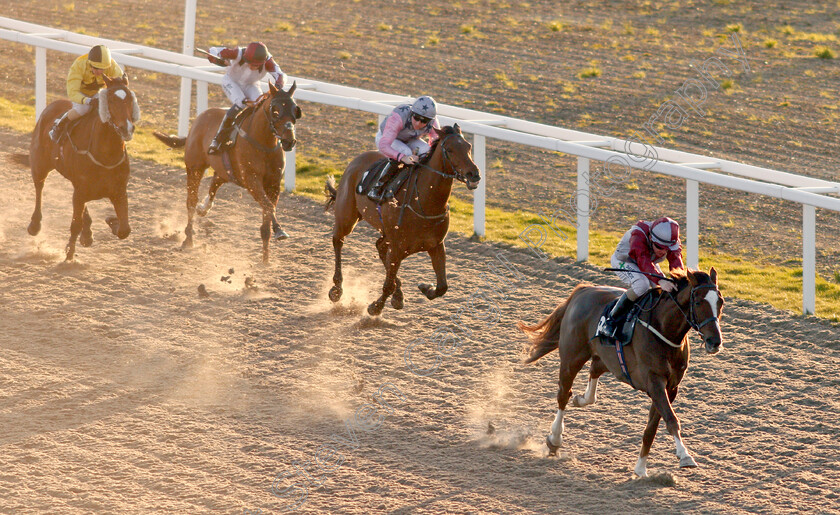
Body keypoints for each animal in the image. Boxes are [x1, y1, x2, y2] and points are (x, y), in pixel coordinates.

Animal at [28, 75, 139, 262]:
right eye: (110, 99)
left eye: (130, 98)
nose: (126, 128)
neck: (106, 155)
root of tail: (52, 105)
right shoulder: (80, 190)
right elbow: (75, 224)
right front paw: (69, 254)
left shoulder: (119, 190)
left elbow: (125, 229)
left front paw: (112, 220)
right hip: (39, 163)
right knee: (39, 187)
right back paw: (35, 224)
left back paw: (87, 234)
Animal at [154, 83, 302, 264]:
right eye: (275, 110)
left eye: (295, 109)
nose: (289, 141)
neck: (263, 143)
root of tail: (198, 120)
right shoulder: (252, 180)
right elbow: (268, 206)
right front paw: (280, 231)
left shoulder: (273, 184)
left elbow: (268, 213)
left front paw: (266, 260)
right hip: (195, 167)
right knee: (191, 201)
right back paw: (188, 238)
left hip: (225, 171)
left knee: (214, 182)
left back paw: (204, 208)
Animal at [322, 125, 480, 316]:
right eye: (449, 150)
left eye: (468, 147)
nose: (474, 174)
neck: (425, 203)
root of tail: (356, 160)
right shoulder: (397, 247)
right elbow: (388, 285)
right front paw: (375, 306)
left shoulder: (435, 245)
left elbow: (442, 286)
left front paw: (425, 288)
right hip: (347, 216)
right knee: (338, 240)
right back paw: (337, 289)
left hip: (386, 232)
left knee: (380, 247)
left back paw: (398, 295)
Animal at [520, 268, 720, 478]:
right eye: (698, 302)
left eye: (720, 302)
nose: (715, 341)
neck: (663, 328)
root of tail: (583, 290)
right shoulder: (654, 382)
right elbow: (671, 419)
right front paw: (685, 456)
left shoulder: (671, 387)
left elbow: (652, 428)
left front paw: (640, 469)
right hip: (572, 358)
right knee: (563, 395)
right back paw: (555, 439)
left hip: (607, 359)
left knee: (593, 372)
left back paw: (581, 399)